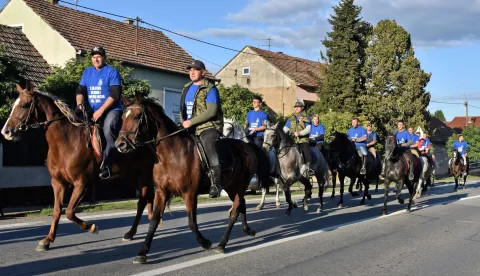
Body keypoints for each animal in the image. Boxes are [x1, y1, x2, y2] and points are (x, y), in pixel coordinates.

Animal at [0, 81, 154, 250]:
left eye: (24, 105)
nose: (6, 131)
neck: (65, 142)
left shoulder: (81, 183)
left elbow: (69, 212)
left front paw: (91, 227)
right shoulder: (58, 183)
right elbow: (57, 211)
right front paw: (47, 240)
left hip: (144, 175)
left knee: (143, 201)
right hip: (132, 176)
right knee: (146, 199)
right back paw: (136, 230)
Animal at [113, 96, 270, 264]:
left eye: (137, 116)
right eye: (122, 117)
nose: (120, 144)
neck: (172, 154)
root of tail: (247, 146)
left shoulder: (190, 193)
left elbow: (192, 223)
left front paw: (205, 242)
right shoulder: (161, 192)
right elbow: (154, 220)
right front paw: (142, 252)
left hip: (240, 186)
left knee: (234, 212)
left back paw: (222, 244)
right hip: (231, 188)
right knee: (242, 205)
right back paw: (248, 230)